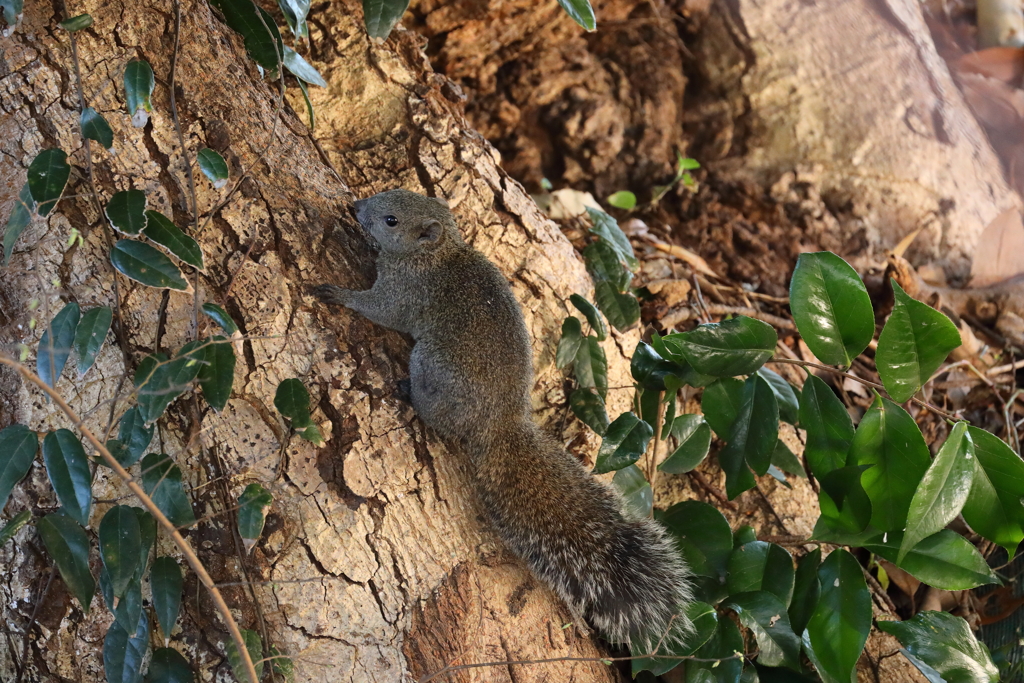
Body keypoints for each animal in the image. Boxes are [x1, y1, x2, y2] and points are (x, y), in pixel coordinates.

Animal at [313, 189, 696, 651]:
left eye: (391, 220)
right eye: (391, 195)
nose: (356, 208)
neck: (435, 254)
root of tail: (499, 425)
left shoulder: (406, 293)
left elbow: (380, 310)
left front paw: (340, 294)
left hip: (432, 365)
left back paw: (410, 395)